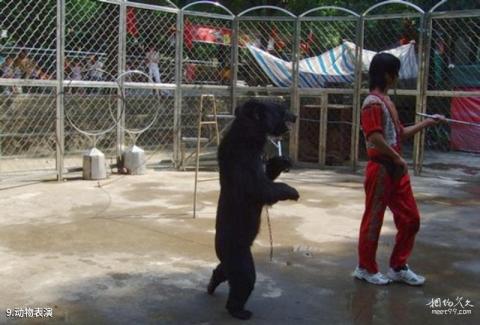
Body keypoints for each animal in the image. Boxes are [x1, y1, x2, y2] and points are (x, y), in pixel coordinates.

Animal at [207, 98, 300, 318]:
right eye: (281, 109)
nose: (295, 115)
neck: (249, 135)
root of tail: (218, 247)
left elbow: (267, 175)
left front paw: (283, 160)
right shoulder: (243, 160)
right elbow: (260, 187)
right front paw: (293, 191)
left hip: (231, 257)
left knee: (224, 272)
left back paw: (211, 285)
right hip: (237, 251)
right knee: (245, 278)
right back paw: (240, 311)